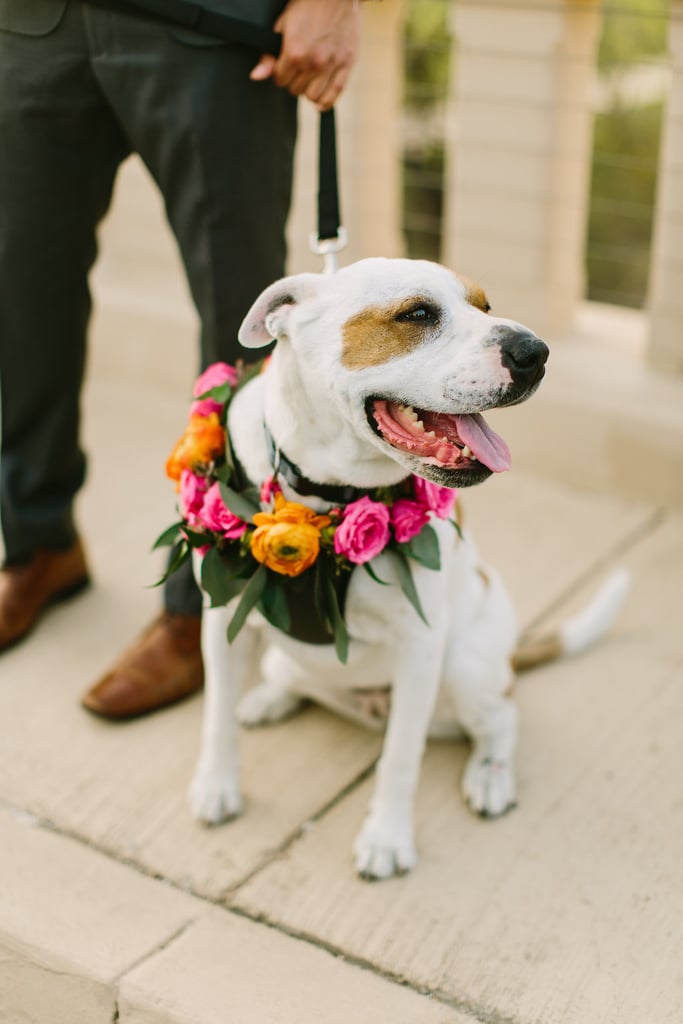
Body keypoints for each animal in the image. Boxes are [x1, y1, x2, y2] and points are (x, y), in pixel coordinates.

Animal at [187, 258, 630, 880]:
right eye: (417, 313)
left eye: (485, 306)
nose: (535, 351)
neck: (327, 495)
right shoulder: (221, 622)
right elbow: (216, 716)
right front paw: (216, 786)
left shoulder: (420, 650)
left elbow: (400, 759)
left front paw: (386, 838)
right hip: (289, 658)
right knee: (288, 679)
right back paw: (270, 699)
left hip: (464, 668)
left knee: (504, 718)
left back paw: (489, 776)